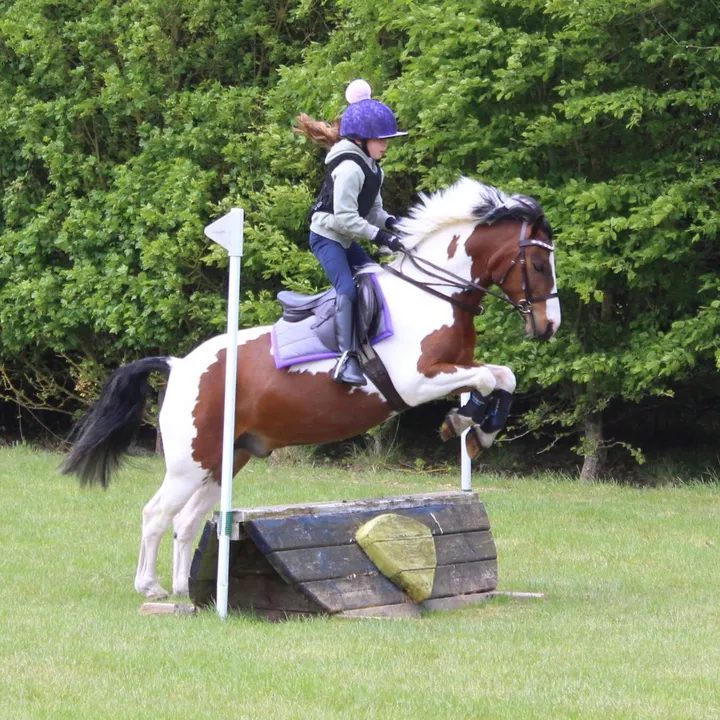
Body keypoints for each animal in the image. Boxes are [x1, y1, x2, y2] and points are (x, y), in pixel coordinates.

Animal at [61, 177, 561, 599]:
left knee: (187, 520)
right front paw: (462, 423)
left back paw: (188, 591)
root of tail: (180, 365)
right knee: (156, 513)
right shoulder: (417, 380)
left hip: (226, 459)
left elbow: (503, 376)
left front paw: (480, 431)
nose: (549, 326)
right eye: (538, 263)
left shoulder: (456, 366)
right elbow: (487, 377)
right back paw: (151, 588)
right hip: (190, 462)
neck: (432, 293)